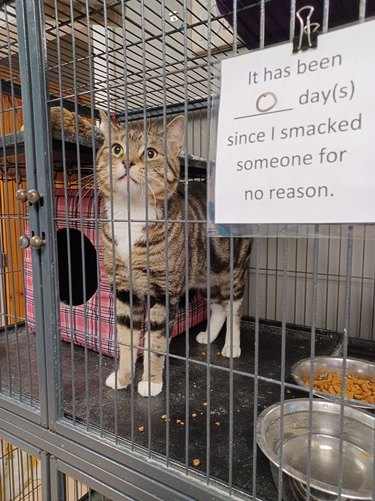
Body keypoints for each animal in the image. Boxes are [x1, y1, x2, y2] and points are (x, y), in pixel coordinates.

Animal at [97, 111, 253, 396]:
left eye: (150, 153)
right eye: (116, 149)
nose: (126, 162)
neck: (131, 216)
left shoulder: (163, 292)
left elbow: (155, 342)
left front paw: (150, 382)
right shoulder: (124, 289)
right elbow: (126, 339)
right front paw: (122, 377)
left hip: (235, 268)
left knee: (234, 308)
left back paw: (231, 346)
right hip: (205, 272)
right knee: (218, 306)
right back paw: (207, 336)